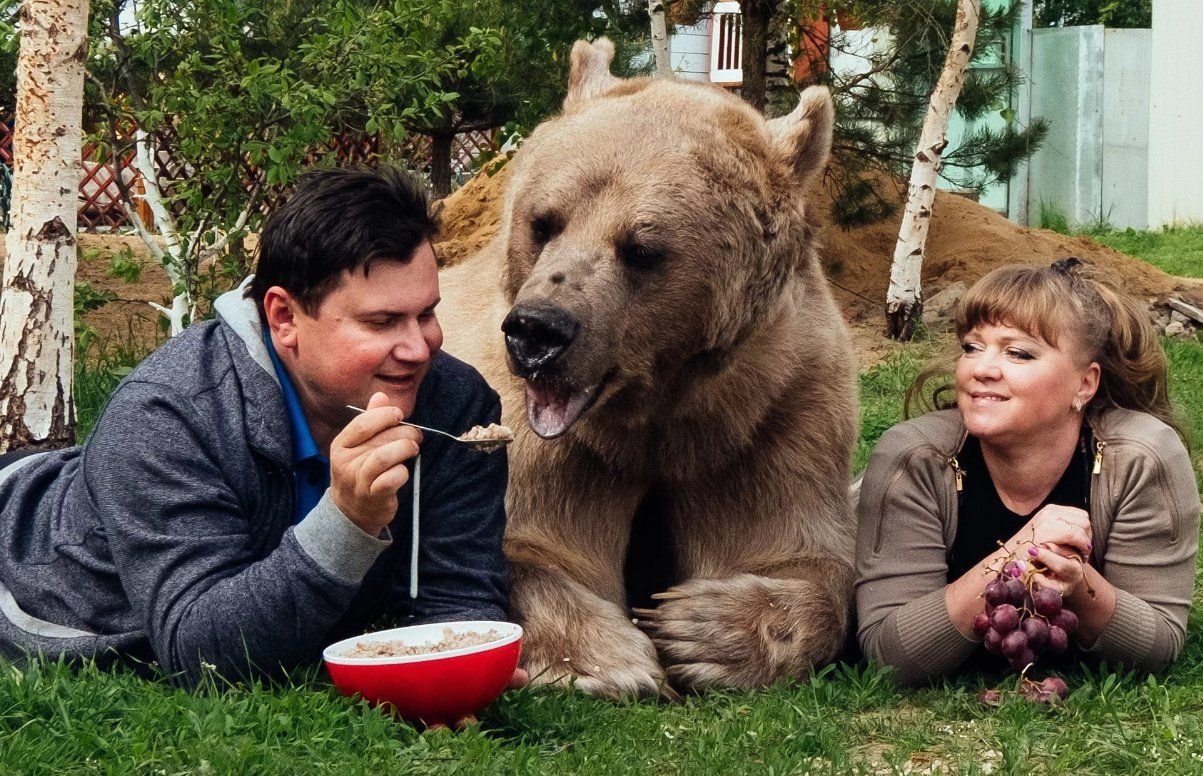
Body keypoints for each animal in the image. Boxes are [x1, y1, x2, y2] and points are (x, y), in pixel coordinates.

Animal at [433, 37, 856, 697]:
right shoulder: (533, 433)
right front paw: (610, 658)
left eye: (641, 247)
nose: (538, 332)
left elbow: (796, 552)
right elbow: (528, 543)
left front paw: (698, 629)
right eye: (543, 221)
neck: (656, 413)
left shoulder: (776, 413)